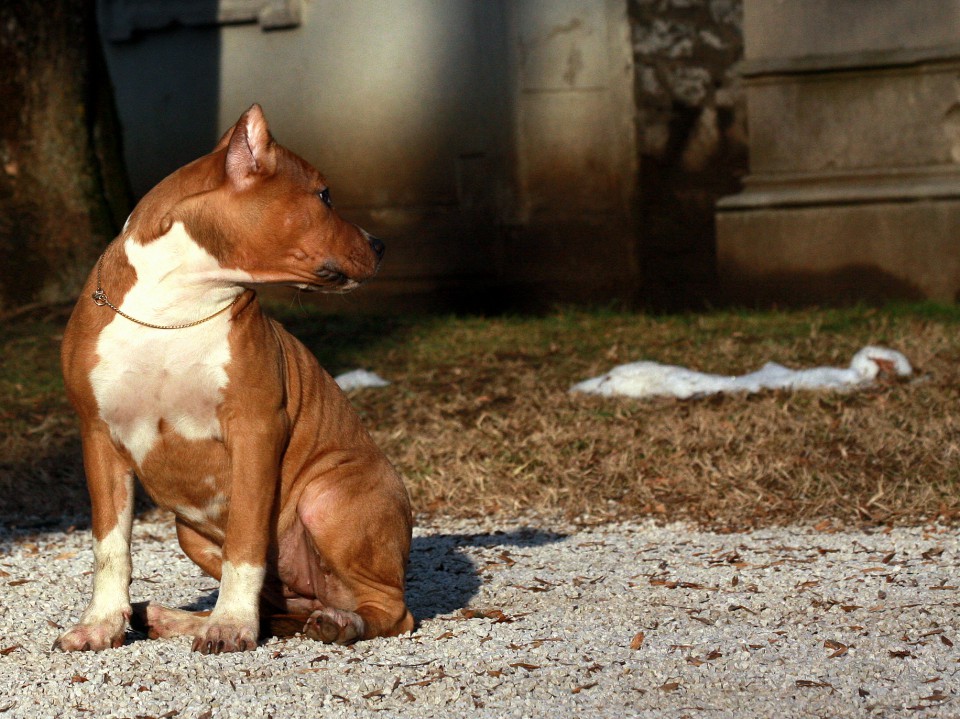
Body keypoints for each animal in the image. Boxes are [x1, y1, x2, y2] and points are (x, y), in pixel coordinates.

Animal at [52, 105, 412, 652]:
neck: (175, 304)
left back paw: (338, 622)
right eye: (324, 195)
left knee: (391, 609)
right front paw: (101, 623)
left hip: (328, 498)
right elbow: (110, 545)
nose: (382, 244)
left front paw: (230, 625)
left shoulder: (255, 429)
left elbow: (245, 540)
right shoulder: (99, 435)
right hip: (191, 532)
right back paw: (174, 619)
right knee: (279, 609)